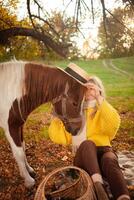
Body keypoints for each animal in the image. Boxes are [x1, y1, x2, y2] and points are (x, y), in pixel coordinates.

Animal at [0, 60, 85, 188]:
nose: (78, 128)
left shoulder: (19, 125)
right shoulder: (10, 127)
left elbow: (23, 147)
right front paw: (28, 180)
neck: (11, 91)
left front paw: (29, 170)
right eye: (75, 103)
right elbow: (18, 153)